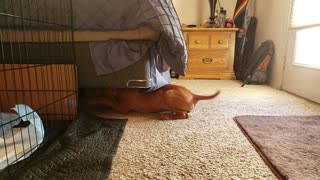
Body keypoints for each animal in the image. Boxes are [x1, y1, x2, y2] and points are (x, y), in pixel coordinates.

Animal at [84, 84, 220, 119]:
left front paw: (92, 100)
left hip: (168, 93)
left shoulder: (122, 107)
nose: (85, 92)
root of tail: (193, 95)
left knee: (184, 115)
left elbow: (106, 99)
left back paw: (164, 116)